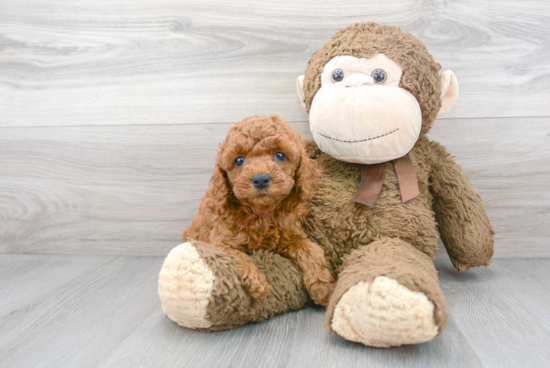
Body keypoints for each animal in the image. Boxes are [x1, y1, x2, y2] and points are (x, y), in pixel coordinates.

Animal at [185, 115, 334, 304]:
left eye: (280, 155)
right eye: (239, 160)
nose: (261, 179)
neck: (262, 213)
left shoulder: (291, 235)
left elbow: (311, 249)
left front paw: (322, 284)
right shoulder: (218, 242)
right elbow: (235, 256)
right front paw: (256, 281)